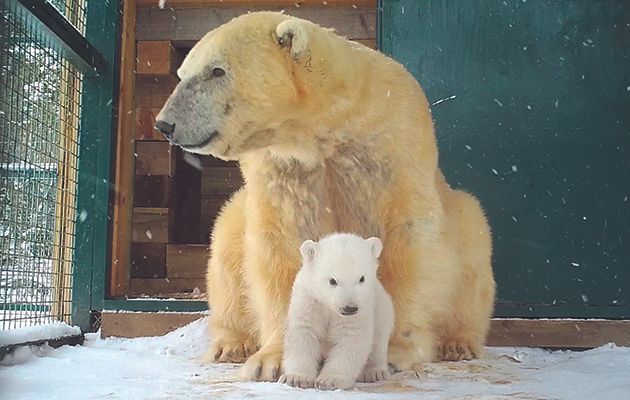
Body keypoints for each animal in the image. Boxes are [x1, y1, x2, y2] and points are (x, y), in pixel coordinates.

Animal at [156, 11, 496, 382]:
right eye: (182, 73)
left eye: (217, 70)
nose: (165, 124)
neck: (329, 128)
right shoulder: (283, 169)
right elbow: (280, 247)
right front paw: (271, 359)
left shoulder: (393, 148)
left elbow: (407, 243)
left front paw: (392, 350)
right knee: (227, 244)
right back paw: (231, 344)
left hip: (463, 220)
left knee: (472, 254)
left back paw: (458, 342)